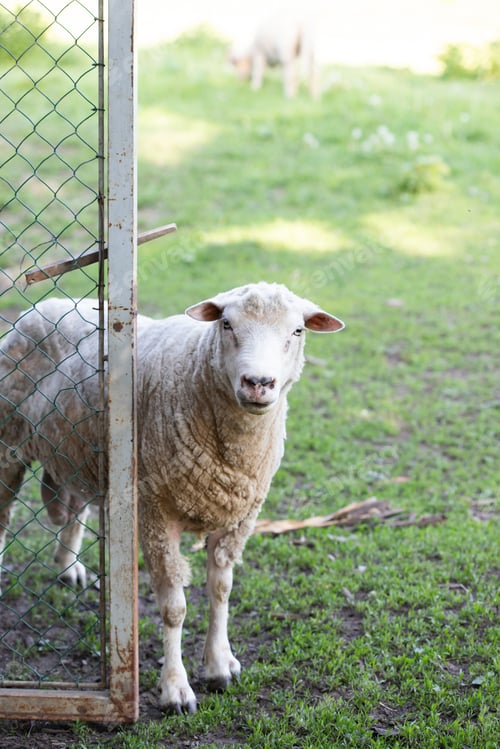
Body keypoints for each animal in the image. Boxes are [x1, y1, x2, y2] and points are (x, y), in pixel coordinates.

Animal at [0, 282, 344, 713]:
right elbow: (175, 608)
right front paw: (176, 688)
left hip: (79, 446)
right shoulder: (155, 515)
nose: (258, 382)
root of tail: (48, 303)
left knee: (76, 507)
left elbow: (221, 590)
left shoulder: (238, 518)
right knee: (4, 513)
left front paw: (219, 665)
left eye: (298, 331)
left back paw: (69, 566)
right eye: (226, 324)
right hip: (9, 441)